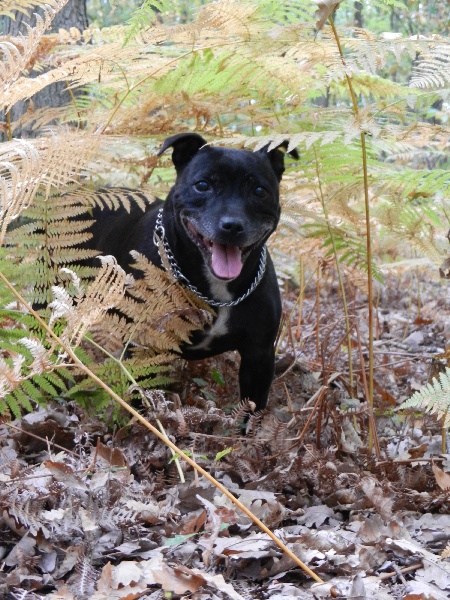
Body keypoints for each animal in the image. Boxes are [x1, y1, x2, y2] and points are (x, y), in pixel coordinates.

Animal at [89, 134, 298, 410]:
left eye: (259, 191)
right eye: (202, 185)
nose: (232, 225)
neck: (216, 290)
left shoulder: (259, 357)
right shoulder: (141, 346)